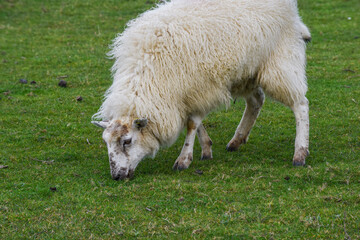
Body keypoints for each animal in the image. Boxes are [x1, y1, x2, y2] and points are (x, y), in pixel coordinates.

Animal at [91, 0, 310, 180]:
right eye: (106, 142)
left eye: (127, 141)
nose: (116, 176)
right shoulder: (188, 93)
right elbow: (195, 121)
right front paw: (205, 148)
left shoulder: (199, 88)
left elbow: (192, 123)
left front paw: (184, 159)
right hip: (247, 71)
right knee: (256, 100)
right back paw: (237, 140)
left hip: (280, 61)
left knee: (300, 104)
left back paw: (300, 153)